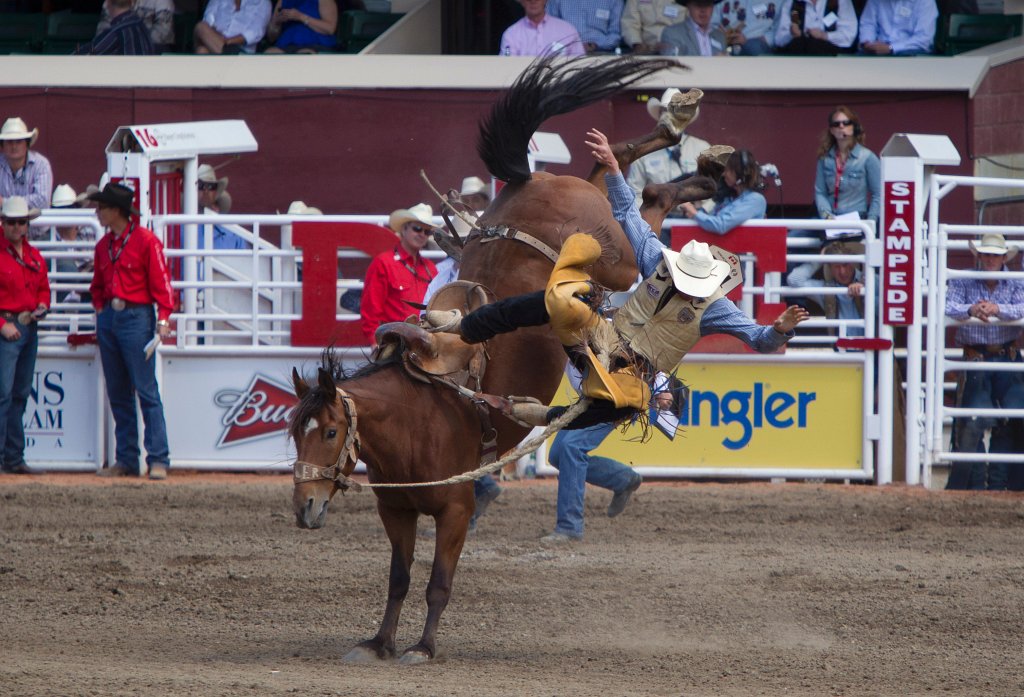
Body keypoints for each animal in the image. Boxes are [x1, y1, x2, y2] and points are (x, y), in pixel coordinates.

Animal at [288, 55, 716, 663]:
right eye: (293, 432)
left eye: (328, 432)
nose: (304, 507)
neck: (418, 417)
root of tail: (530, 178)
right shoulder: (396, 511)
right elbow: (398, 578)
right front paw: (379, 642)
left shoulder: (455, 511)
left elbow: (437, 582)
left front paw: (423, 648)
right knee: (623, 177)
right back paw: (685, 148)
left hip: (617, 258)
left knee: (643, 209)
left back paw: (691, 145)